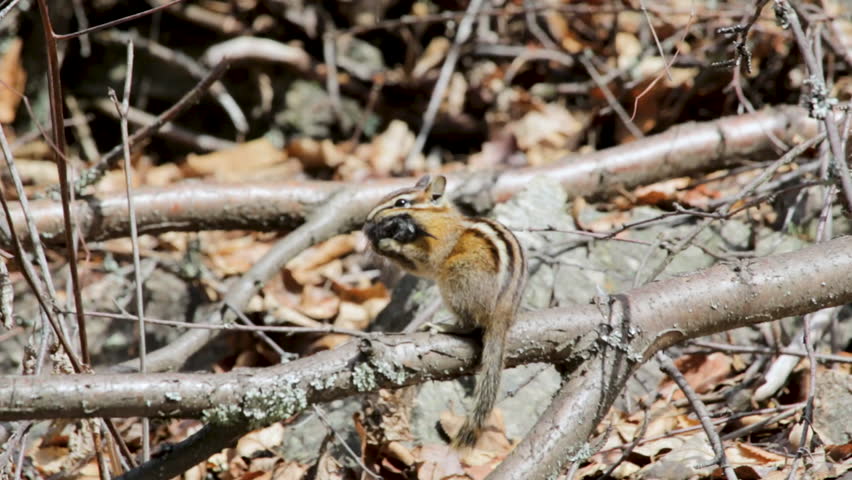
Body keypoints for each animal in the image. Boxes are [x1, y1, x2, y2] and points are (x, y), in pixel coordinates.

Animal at [363, 175, 527, 448]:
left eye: (402, 202)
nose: (366, 222)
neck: (438, 216)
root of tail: (502, 313)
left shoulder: (436, 247)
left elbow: (422, 260)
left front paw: (387, 243)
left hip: (455, 278)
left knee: (471, 325)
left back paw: (442, 325)